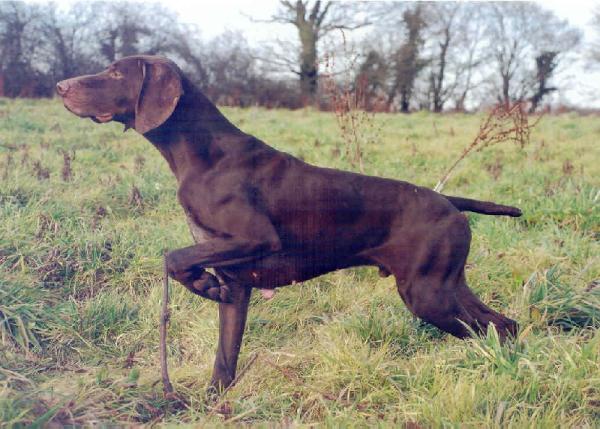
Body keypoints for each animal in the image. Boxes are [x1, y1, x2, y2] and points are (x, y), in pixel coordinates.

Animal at [56, 54, 520, 392]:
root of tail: (448, 200)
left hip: (427, 294)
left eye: (116, 72)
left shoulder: (255, 238)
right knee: (505, 325)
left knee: (490, 329)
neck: (204, 155)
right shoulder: (236, 284)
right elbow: (224, 360)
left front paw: (201, 284)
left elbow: (174, 257)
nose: (60, 86)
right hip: (446, 285)